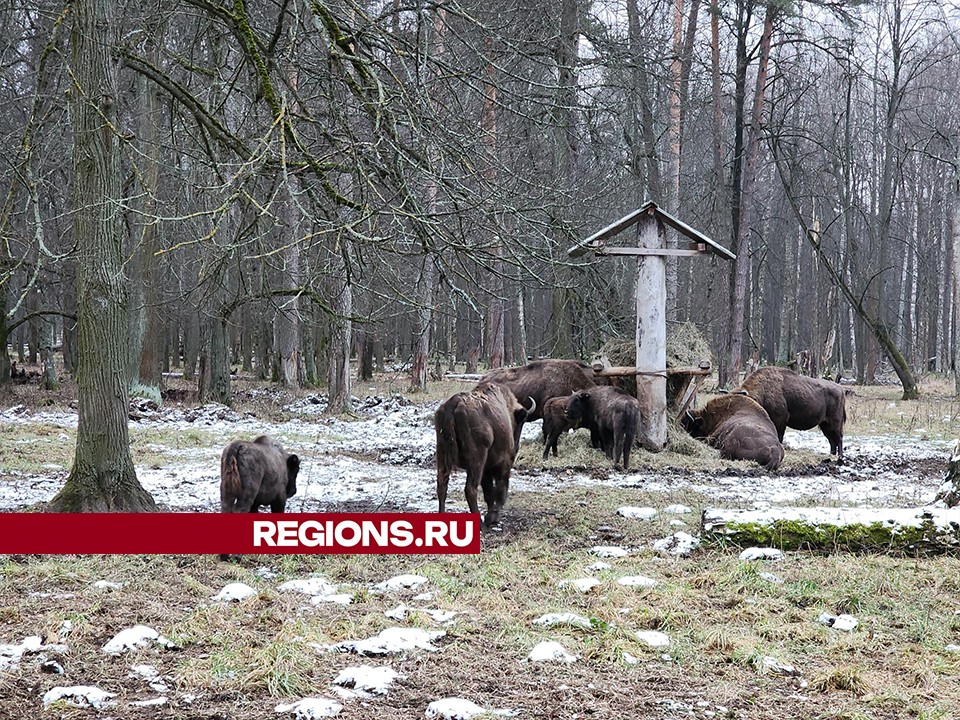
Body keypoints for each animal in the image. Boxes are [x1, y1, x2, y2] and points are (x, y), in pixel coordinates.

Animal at [436, 382, 536, 528]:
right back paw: (480, 522)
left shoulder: (486, 469)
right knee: (470, 489)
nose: (516, 447)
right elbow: (500, 489)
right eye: (521, 422)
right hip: (477, 460)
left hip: (442, 454)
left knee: (442, 484)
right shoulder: (504, 463)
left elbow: (488, 490)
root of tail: (454, 403)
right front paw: (493, 517)